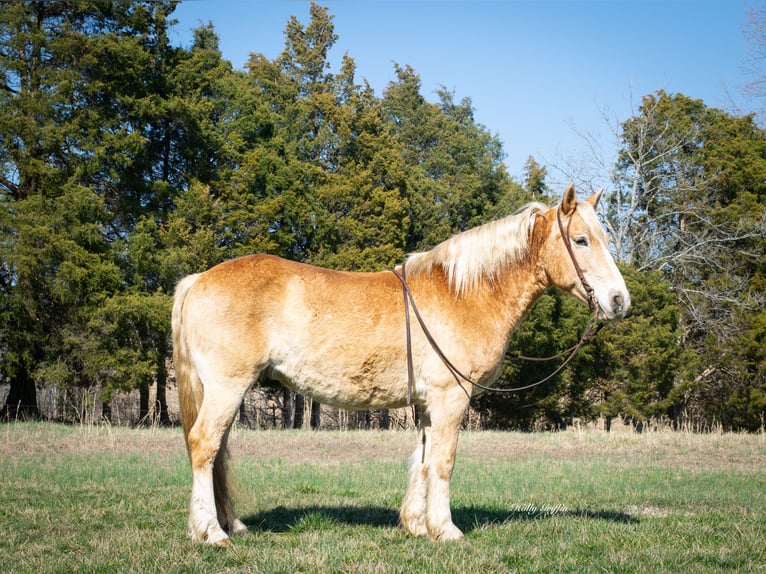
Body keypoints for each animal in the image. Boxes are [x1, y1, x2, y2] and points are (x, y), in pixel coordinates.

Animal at [172, 186, 632, 548]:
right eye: (581, 240)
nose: (619, 301)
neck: (462, 293)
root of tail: (197, 280)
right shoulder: (451, 399)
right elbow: (443, 461)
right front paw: (446, 529)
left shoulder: (429, 404)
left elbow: (424, 459)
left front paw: (416, 525)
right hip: (227, 388)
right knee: (204, 446)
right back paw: (211, 532)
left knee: (218, 452)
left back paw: (232, 524)